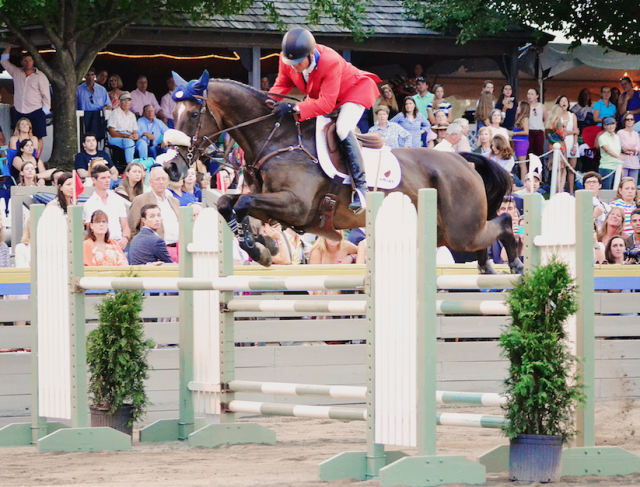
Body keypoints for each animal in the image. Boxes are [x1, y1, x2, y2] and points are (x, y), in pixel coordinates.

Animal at [162, 77, 524, 274]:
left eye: (192, 114)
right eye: (172, 112)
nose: (172, 167)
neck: (276, 138)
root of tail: (463, 162)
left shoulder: (295, 206)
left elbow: (241, 203)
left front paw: (259, 248)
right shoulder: (274, 205)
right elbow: (228, 202)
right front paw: (266, 247)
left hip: (460, 230)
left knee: (503, 224)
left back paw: (516, 265)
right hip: (445, 233)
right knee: (484, 237)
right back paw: (487, 266)